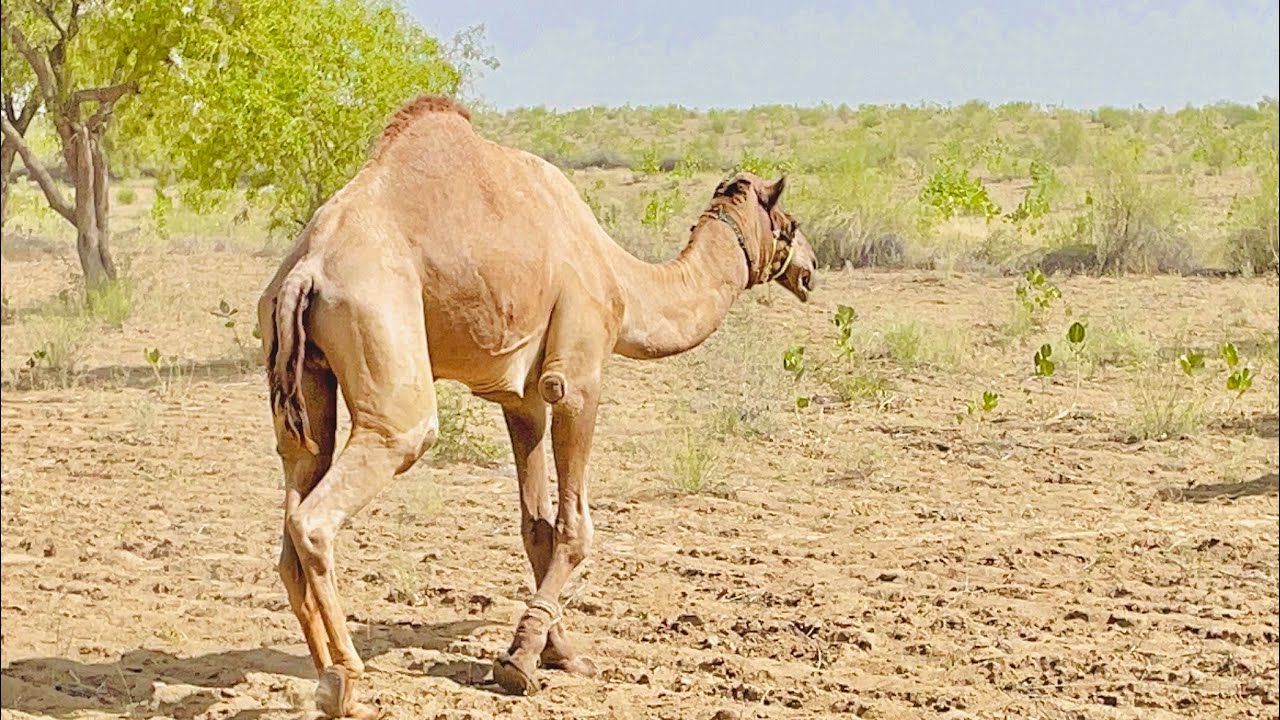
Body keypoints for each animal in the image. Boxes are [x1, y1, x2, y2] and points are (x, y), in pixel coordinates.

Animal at [257, 95, 817, 718]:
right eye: (790, 224)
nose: (810, 270)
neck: (621, 281)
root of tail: (305, 271)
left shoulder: (521, 397)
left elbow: (536, 527)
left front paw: (558, 651)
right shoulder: (576, 375)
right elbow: (574, 527)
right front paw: (520, 662)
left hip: (303, 375)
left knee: (297, 485)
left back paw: (323, 674)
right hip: (382, 338)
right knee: (330, 505)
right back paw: (347, 679)